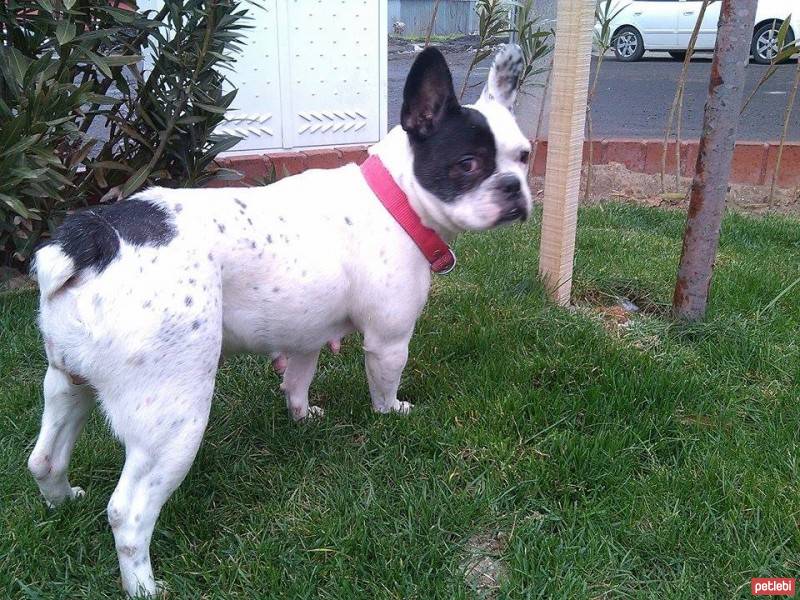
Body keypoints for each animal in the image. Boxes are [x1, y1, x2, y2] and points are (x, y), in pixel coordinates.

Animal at [28, 45, 536, 596]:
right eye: (468, 165)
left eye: (525, 157)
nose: (514, 188)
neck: (396, 199)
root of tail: (92, 240)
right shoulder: (388, 340)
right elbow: (383, 385)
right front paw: (392, 412)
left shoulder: (305, 334)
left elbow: (297, 378)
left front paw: (301, 415)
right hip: (174, 418)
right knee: (128, 512)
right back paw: (144, 585)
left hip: (67, 381)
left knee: (45, 459)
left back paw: (63, 503)